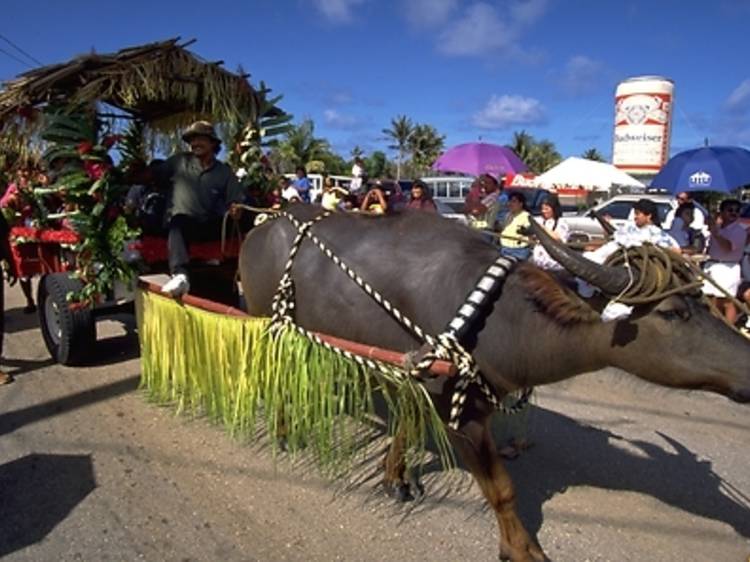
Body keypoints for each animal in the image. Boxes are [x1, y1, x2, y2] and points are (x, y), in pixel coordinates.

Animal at [241, 206, 750, 560]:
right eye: (672, 312)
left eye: (703, 301)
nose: (746, 367)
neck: (504, 319)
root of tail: (261, 226)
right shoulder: (463, 414)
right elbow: (503, 490)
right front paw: (522, 549)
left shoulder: (421, 383)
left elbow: (406, 426)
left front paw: (396, 478)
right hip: (267, 324)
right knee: (275, 376)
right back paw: (283, 431)